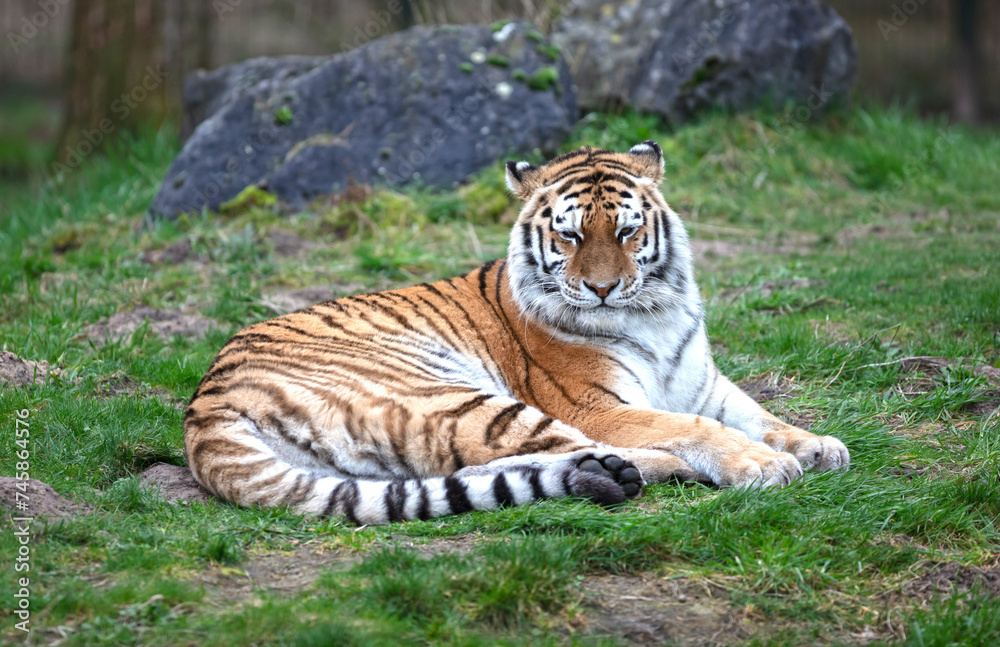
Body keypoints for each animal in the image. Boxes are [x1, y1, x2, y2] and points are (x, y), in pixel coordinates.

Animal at [183, 141, 850, 525]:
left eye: (628, 231)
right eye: (571, 235)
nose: (603, 288)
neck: (652, 312)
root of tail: (204, 403)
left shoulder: (704, 383)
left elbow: (759, 413)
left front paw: (817, 446)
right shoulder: (598, 404)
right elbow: (695, 427)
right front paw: (760, 464)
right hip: (449, 393)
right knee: (551, 447)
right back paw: (647, 470)